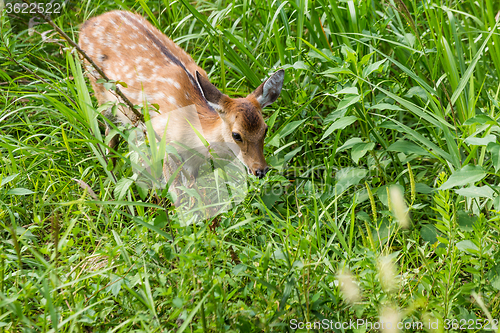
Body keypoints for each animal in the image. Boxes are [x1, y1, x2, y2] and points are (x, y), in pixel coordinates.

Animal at [76, 10, 284, 188]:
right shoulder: (163, 142)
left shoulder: (192, 163)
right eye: (236, 135)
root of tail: (85, 24)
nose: (260, 170)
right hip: (99, 91)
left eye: (265, 129)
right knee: (109, 135)